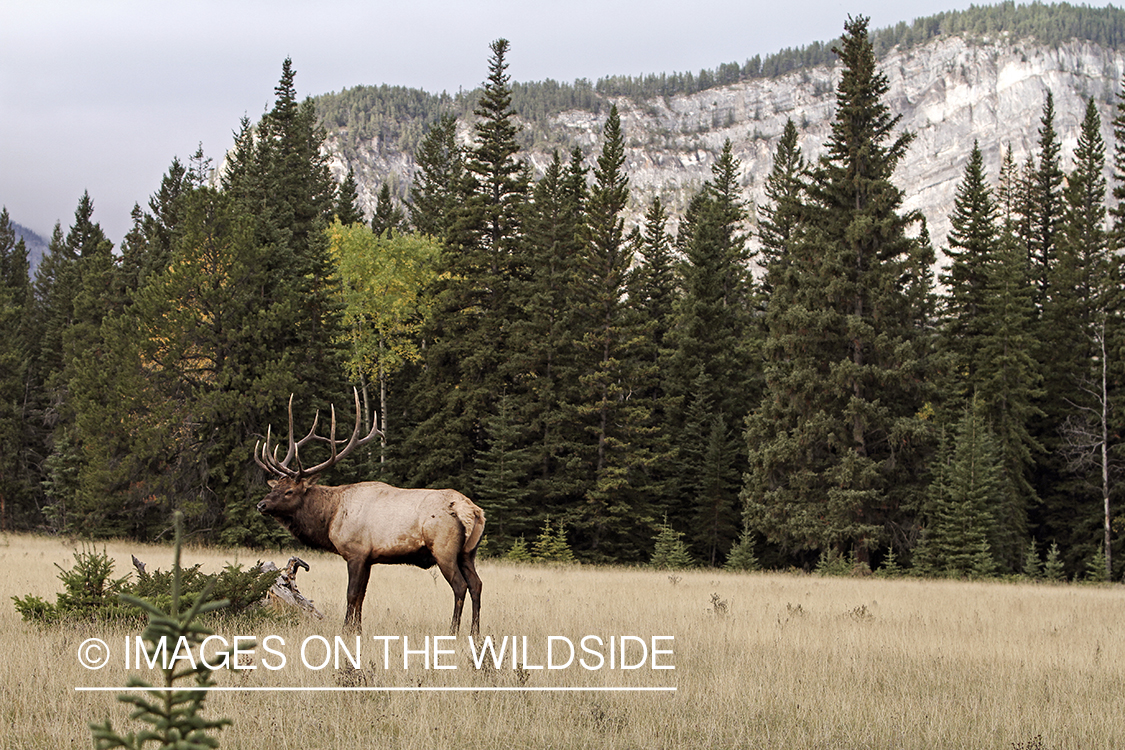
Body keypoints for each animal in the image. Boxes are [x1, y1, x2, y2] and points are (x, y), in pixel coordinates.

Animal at [253, 391, 486, 638]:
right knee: (477, 584)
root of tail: (472, 510)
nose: (261, 505)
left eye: (289, 491)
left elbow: (351, 593)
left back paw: (453, 631)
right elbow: (362, 596)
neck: (331, 518)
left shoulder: (356, 552)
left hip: (444, 548)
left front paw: (346, 629)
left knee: (460, 585)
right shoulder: (369, 558)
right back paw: (475, 632)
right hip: (468, 553)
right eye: (274, 487)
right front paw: (358, 629)